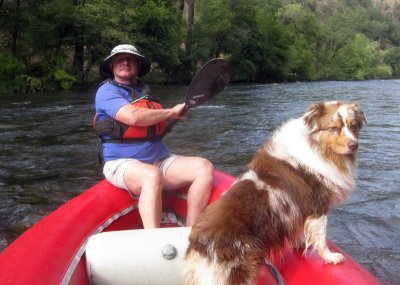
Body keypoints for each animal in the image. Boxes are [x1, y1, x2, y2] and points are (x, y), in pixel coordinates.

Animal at [183, 101, 368, 282]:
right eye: (334, 128)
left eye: (353, 126)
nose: (354, 145)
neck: (316, 147)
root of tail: (196, 246)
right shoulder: (318, 205)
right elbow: (321, 237)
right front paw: (331, 257)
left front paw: (299, 244)